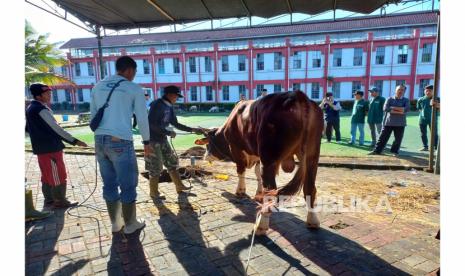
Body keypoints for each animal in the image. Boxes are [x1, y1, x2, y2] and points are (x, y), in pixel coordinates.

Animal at [196, 90, 322, 235]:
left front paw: (240, 191)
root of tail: (297, 95)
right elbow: (257, 174)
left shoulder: (237, 149)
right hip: (311, 157)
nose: (205, 156)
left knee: (271, 192)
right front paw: (258, 193)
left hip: (269, 158)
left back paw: (260, 225)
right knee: (310, 188)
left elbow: (240, 170)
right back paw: (313, 221)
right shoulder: (257, 154)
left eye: (208, 144)